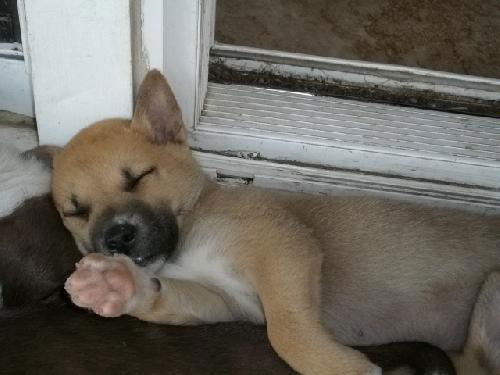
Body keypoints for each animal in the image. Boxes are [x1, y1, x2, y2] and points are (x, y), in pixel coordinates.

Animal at [52, 71, 498, 375]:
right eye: (76, 211)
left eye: (139, 177)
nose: (117, 237)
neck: (194, 223)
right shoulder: (225, 301)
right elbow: (167, 296)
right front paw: (115, 285)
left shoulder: (283, 248)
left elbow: (287, 331)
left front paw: (343, 367)